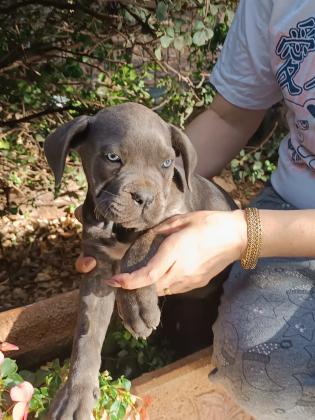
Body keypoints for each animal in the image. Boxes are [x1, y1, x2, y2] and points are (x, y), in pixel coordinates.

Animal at [45, 102, 237, 420]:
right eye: (112, 158)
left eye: (167, 163)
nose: (145, 197)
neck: (119, 229)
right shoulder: (97, 272)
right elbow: (87, 334)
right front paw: (76, 394)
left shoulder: (177, 218)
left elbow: (146, 238)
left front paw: (136, 307)